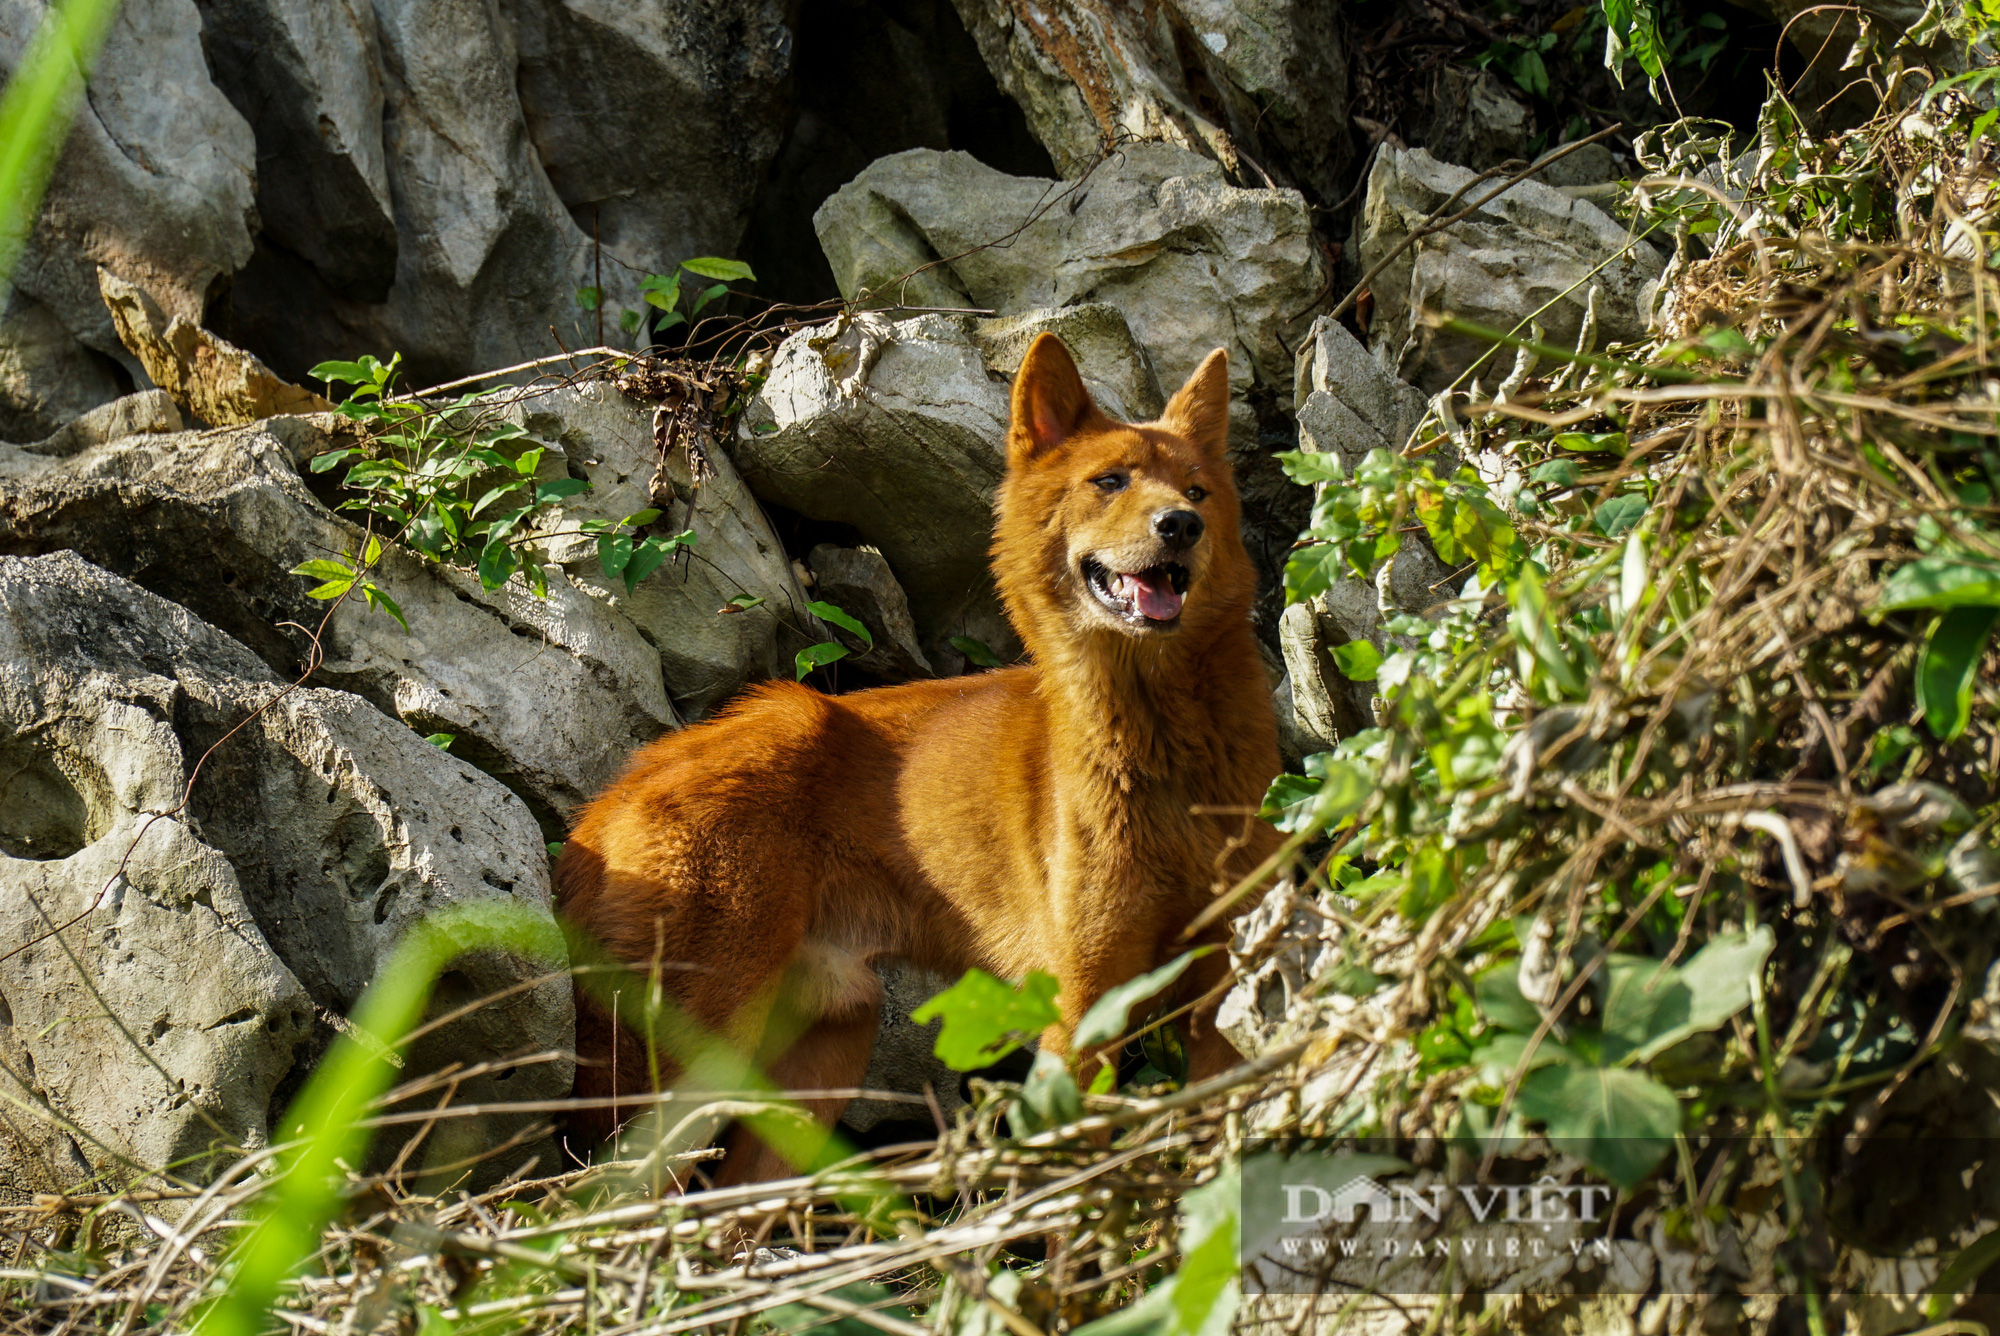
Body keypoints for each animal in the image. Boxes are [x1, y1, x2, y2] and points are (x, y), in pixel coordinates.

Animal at [560, 332, 1280, 1176]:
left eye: (1199, 492)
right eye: (1109, 481)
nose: (1179, 525)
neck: (1165, 750)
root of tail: (615, 792)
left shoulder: (1227, 981)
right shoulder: (1084, 998)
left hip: (818, 1063)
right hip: (689, 1062)